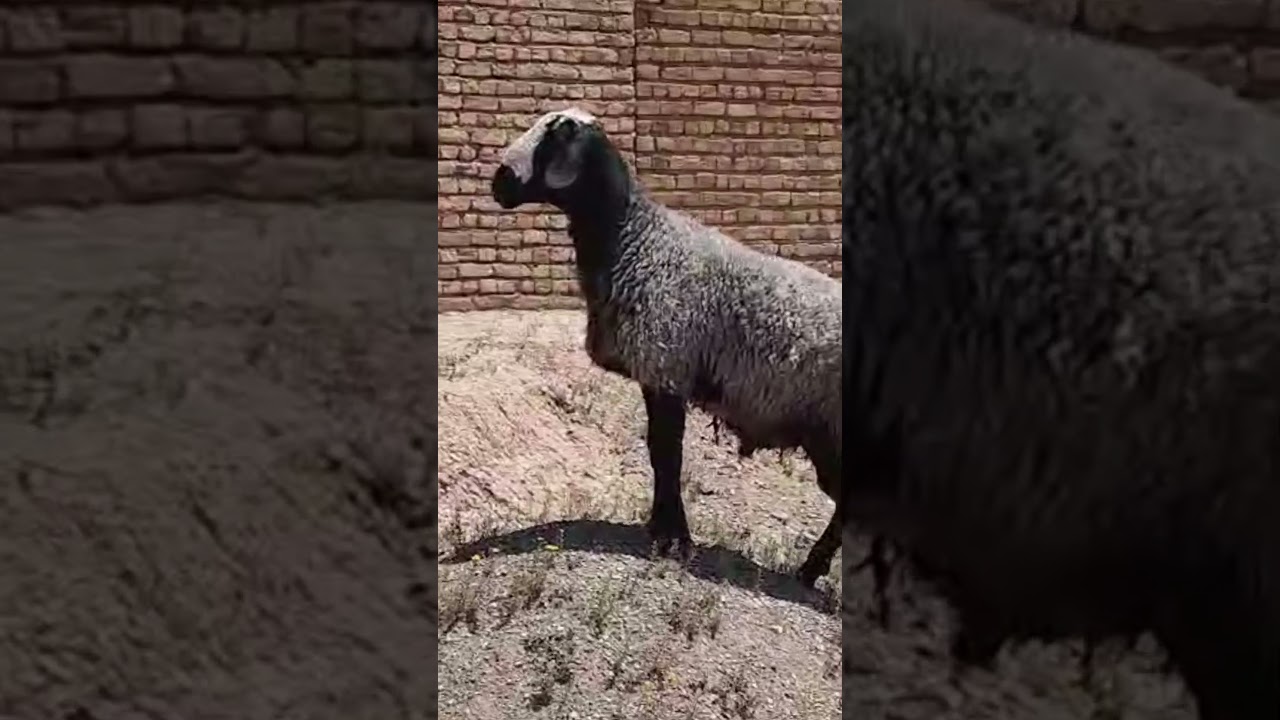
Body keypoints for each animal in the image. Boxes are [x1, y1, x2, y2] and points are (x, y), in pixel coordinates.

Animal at [490, 107, 844, 587]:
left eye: (554, 137)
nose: (500, 182)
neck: (634, 238)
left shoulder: (665, 364)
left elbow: (666, 454)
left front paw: (672, 539)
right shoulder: (658, 372)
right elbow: (660, 454)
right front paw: (664, 531)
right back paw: (809, 572)